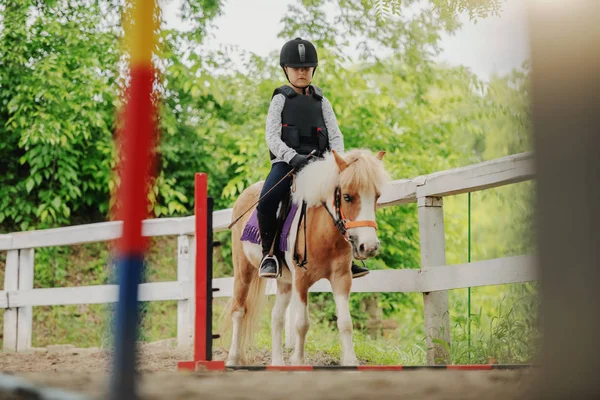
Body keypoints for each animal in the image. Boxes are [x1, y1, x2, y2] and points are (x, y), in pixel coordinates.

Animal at [220, 149, 390, 366]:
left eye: (377, 196)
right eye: (347, 197)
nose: (369, 246)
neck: (323, 233)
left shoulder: (341, 278)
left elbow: (345, 322)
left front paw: (350, 361)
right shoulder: (301, 280)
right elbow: (302, 324)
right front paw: (298, 361)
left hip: (284, 281)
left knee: (277, 317)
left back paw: (277, 362)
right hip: (243, 270)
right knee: (239, 311)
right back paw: (233, 359)